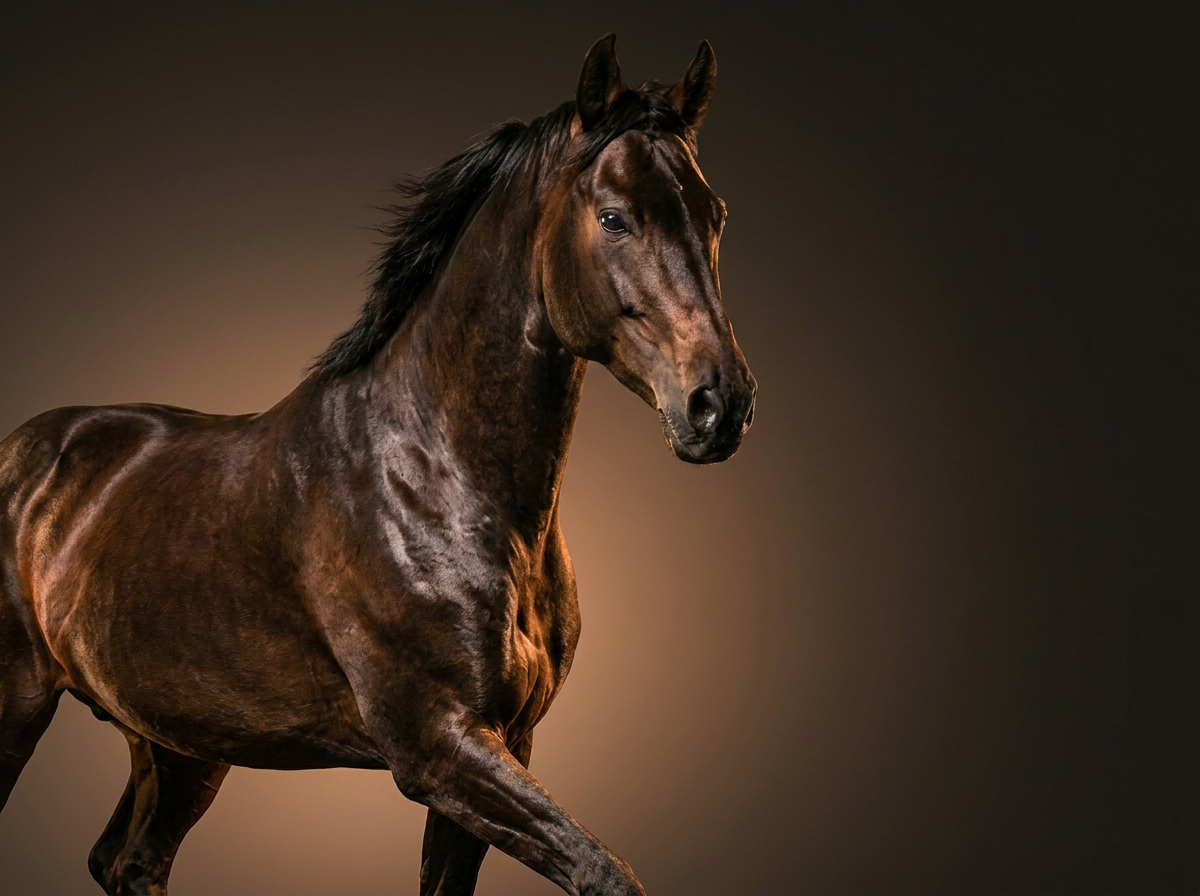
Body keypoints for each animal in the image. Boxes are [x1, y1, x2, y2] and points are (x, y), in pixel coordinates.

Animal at [0, 33, 755, 895]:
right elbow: (605, 872)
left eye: (714, 215)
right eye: (614, 217)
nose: (719, 404)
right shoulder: (438, 749)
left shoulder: (502, 745)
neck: (433, 478)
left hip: (179, 741)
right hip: (19, 708)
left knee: (127, 862)